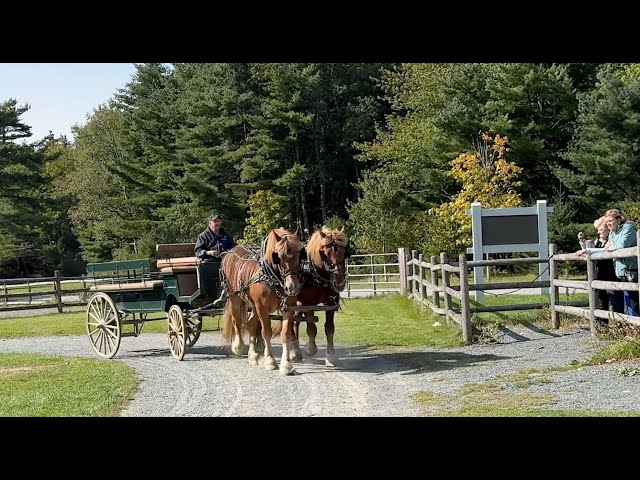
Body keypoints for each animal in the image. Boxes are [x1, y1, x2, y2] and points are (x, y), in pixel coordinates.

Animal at [221, 229, 306, 376]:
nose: (292, 287)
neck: (273, 278)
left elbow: (285, 334)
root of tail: (230, 252)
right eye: (278, 256)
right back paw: (238, 347)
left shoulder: (288, 307)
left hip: (253, 305)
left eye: (299, 254)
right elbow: (266, 332)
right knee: (237, 321)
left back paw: (253, 355)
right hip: (235, 297)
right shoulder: (262, 307)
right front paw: (270, 361)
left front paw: (286, 364)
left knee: (251, 324)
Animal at [292, 227, 350, 366]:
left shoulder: (331, 304)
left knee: (295, 320)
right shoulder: (307, 303)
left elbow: (329, 328)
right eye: (325, 254)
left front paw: (331, 356)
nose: (339, 282)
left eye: (345, 253)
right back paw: (294, 352)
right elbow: (311, 328)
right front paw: (310, 349)